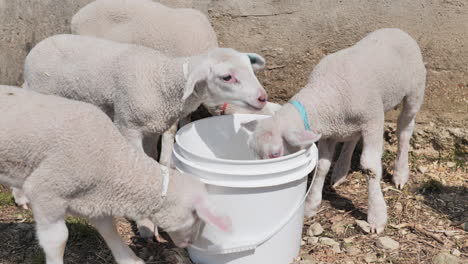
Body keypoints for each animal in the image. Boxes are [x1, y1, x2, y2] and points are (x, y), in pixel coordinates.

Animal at [0, 85, 230, 264]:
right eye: (197, 216)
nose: (188, 244)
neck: (112, 162)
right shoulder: (46, 191)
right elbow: (57, 240)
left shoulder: (94, 196)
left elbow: (109, 228)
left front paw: (129, 259)